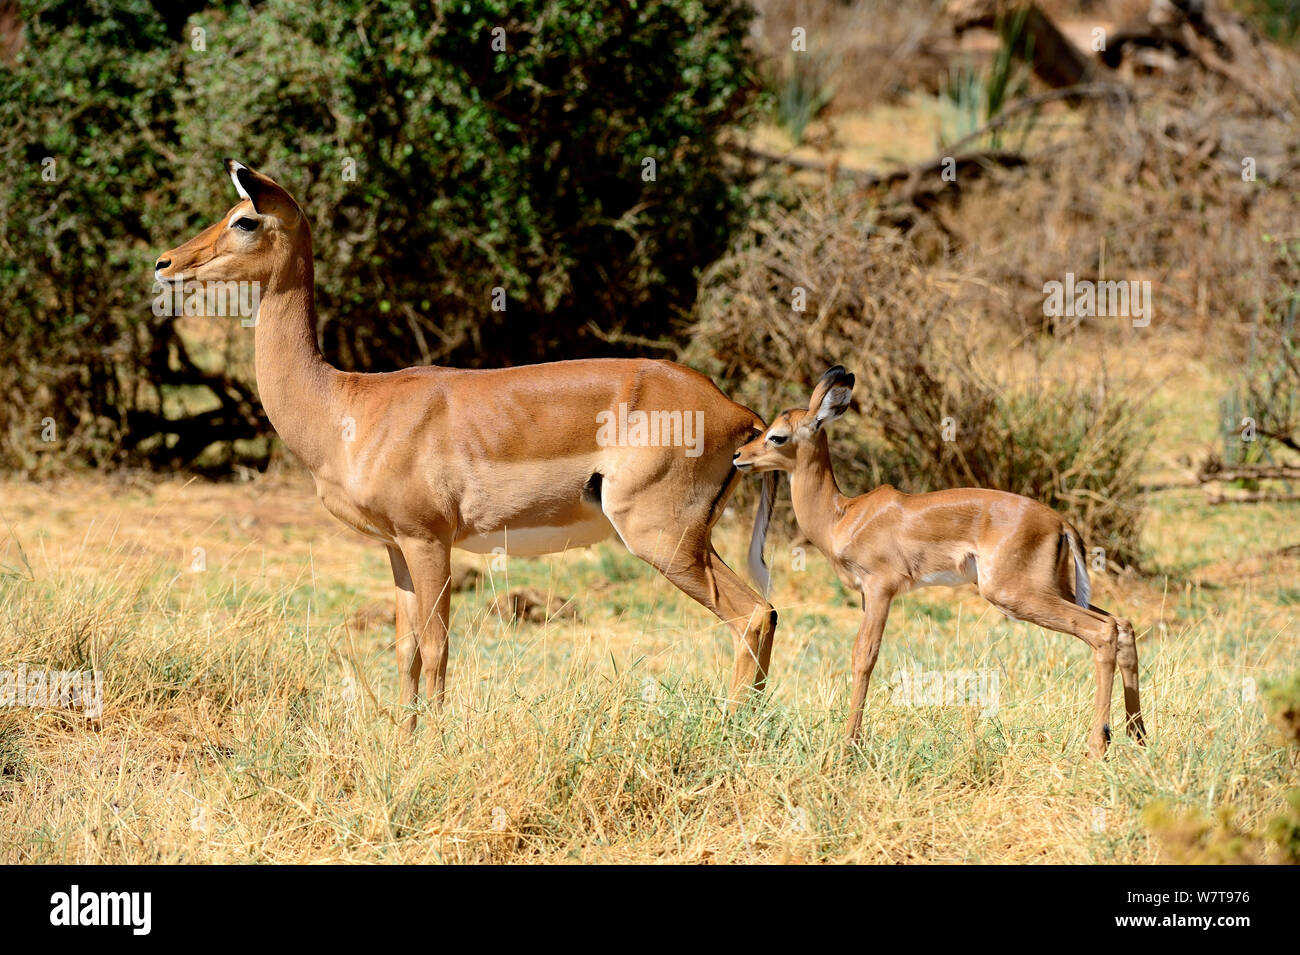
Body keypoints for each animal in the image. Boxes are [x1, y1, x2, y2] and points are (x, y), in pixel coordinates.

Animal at [155, 160, 780, 731]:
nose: (165, 264)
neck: (346, 406)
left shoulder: (430, 540)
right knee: (765, 613)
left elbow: (438, 648)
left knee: (754, 614)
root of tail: (737, 412)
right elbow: (405, 649)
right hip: (690, 539)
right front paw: (403, 741)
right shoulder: (397, 548)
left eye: (244, 219)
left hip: (662, 538)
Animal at [734, 366, 1146, 756]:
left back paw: (1098, 744)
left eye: (777, 436)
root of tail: (1061, 523)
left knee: (1103, 632)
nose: (739, 456)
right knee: (1122, 624)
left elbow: (864, 656)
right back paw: (1138, 737)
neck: (843, 516)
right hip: (1055, 590)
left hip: (1017, 595)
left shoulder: (880, 589)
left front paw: (848, 744)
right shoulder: (867, 595)